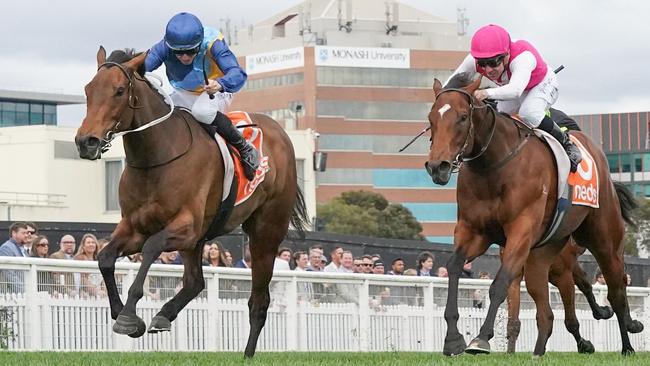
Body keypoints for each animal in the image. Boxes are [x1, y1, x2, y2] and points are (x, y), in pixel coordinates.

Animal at [76, 46, 308, 358]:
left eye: (119, 90)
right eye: (88, 90)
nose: (85, 142)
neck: (156, 158)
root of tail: (281, 132)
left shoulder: (186, 227)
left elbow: (151, 248)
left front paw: (127, 317)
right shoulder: (135, 227)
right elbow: (104, 258)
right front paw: (127, 317)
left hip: (265, 233)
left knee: (259, 300)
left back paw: (247, 354)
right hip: (201, 241)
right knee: (195, 281)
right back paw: (164, 315)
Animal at [422, 73, 640, 356]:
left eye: (461, 117)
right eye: (431, 119)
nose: (437, 166)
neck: (494, 166)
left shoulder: (521, 230)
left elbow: (500, 283)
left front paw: (481, 338)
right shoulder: (473, 231)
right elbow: (454, 267)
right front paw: (453, 338)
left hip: (604, 240)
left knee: (616, 290)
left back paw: (627, 344)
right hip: (543, 254)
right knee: (547, 312)